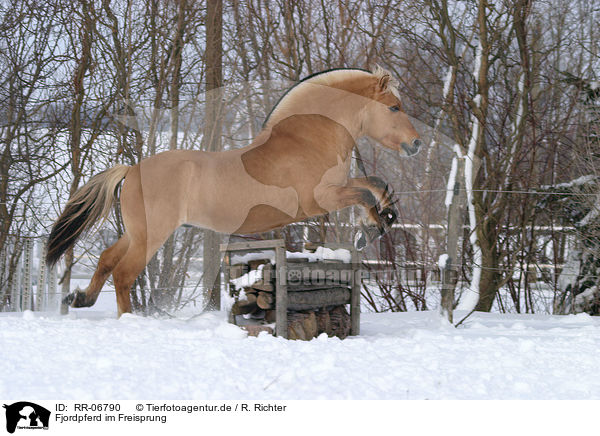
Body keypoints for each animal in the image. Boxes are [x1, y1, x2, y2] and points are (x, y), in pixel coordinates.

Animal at [47, 66, 420, 316]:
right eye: (394, 107)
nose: (416, 144)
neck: (307, 138)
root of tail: (132, 169)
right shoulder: (320, 199)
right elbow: (366, 193)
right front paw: (369, 230)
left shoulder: (336, 188)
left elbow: (376, 184)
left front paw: (383, 219)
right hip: (151, 234)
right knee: (124, 273)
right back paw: (127, 318)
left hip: (137, 232)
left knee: (107, 259)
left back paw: (79, 299)